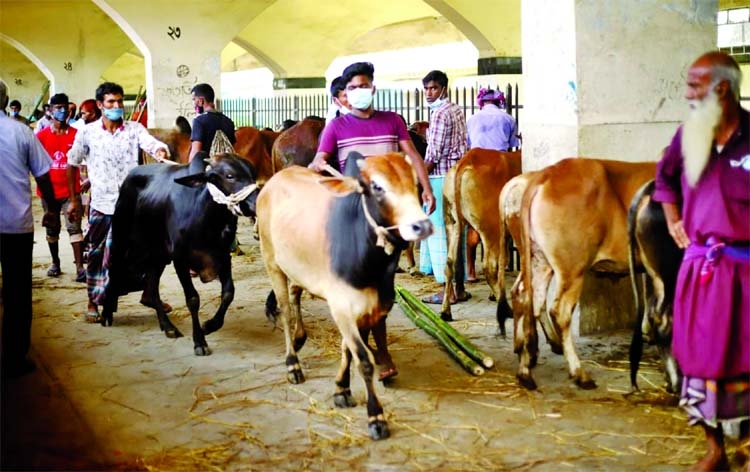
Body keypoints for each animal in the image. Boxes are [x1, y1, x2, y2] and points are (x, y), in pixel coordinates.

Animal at [258, 151, 434, 438]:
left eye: (414, 181)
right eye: (376, 186)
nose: (422, 225)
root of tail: (274, 181)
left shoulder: (370, 309)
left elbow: (348, 350)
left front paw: (342, 388)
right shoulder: (342, 307)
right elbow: (363, 359)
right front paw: (376, 417)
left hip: (297, 267)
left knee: (295, 293)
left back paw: (299, 338)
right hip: (272, 262)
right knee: (284, 310)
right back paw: (292, 363)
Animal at [440, 149, 524, 330]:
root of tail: (466, 160)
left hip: (452, 223)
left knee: (449, 263)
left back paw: (445, 312)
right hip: (491, 228)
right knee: (488, 267)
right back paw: (505, 307)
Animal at [516, 159, 656, 390]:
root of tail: (547, 174)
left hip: (540, 260)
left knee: (530, 300)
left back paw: (525, 370)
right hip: (573, 268)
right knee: (559, 311)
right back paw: (579, 373)